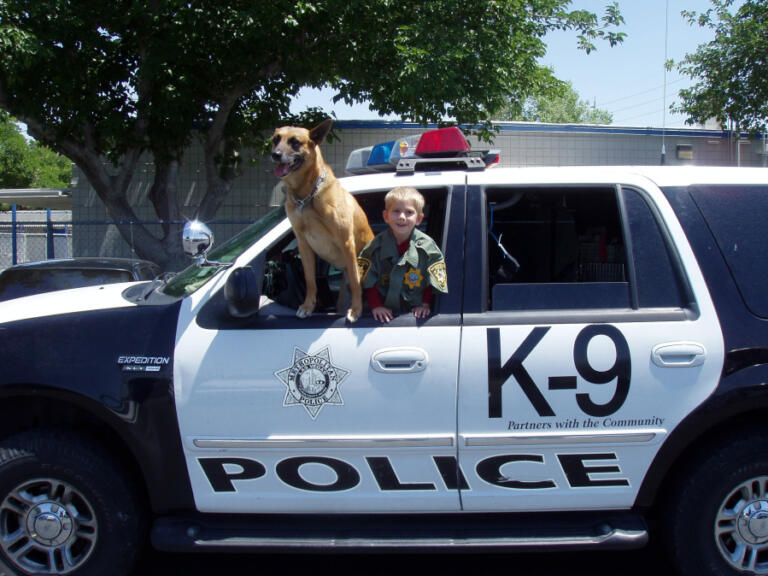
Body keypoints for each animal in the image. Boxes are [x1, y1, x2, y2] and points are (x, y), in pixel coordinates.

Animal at [272, 118, 374, 322]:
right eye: (275, 140)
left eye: (295, 142)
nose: (275, 154)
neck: (305, 196)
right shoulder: (303, 244)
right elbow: (310, 280)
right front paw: (307, 306)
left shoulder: (346, 242)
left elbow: (355, 281)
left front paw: (356, 310)